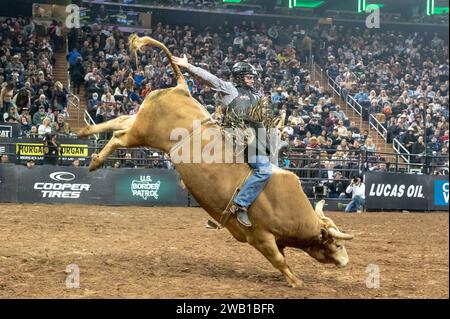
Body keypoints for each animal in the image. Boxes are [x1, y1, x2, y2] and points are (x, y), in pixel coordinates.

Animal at [77, 35, 354, 290]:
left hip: (141, 122)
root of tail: (182, 88)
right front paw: (296, 281)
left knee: (119, 121)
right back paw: (95, 161)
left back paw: (84, 133)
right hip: (144, 133)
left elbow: (281, 257)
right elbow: (278, 260)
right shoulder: (260, 237)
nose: (346, 261)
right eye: (338, 243)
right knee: (118, 136)